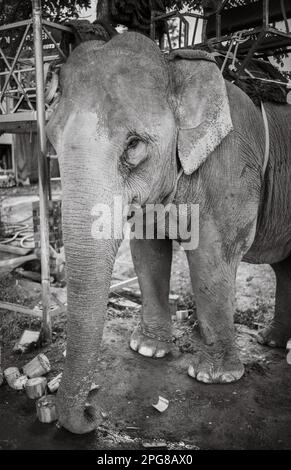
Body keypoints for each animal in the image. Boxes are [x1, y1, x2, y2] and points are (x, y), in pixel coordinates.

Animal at [46, 30, 291, 434]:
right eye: (51, 141)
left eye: (134, 144)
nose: (94, 414)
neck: (173, 64)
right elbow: (147, 251)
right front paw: (148, 350)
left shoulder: (231, 163)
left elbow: (211, 256)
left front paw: (214, 377)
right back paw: (271, 342)